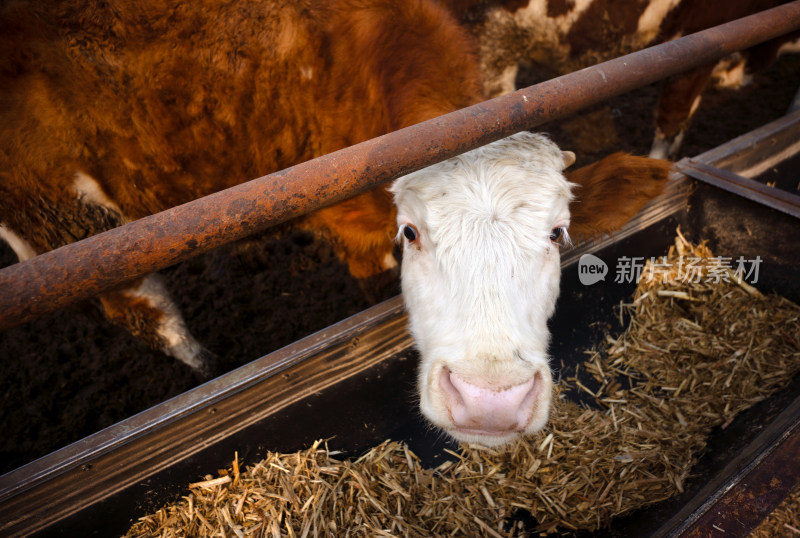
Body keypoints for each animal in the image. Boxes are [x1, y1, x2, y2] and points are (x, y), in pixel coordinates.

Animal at [1, 0, 668, 444]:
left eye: (557, 234)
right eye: (410, 232)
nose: (490, 402)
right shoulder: (359, 235)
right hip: (72, 232)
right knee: (148, 314)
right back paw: (207, 366)